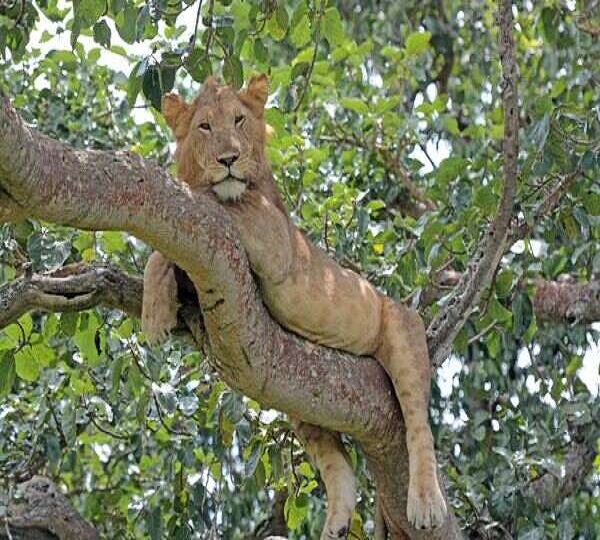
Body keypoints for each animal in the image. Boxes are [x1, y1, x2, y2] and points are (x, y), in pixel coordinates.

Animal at [143, 75, 448, 536]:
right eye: (204, 127)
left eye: (239, 120)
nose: (229, 159)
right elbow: (161, 254)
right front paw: (156, 311)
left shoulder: (273, 237)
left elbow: (193, 208)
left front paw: (151, 314)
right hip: (302, 404)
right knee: (340, 464)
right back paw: (335, 525)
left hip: (401, 331)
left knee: (418, 424)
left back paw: (426, 503)